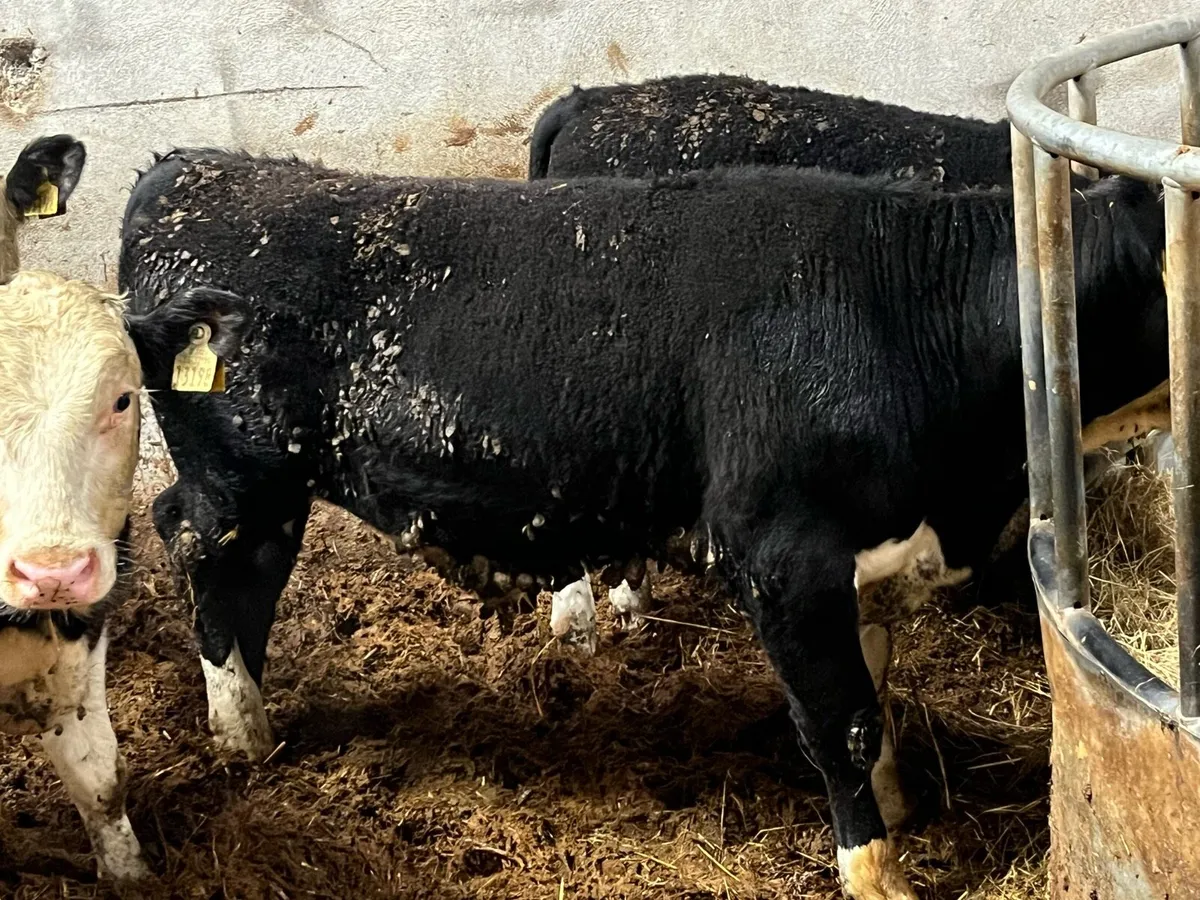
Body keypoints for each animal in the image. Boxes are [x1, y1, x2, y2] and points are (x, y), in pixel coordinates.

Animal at [118, 150, 1167, 899]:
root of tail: (196, 167)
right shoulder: (784, 560)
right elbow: (840, 722)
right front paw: (876, 871)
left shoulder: (867, 558)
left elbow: (876, 691)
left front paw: (898, 808)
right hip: (241, 480)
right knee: (209, 564)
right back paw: (240, 733)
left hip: (263, 487)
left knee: (229, 568)